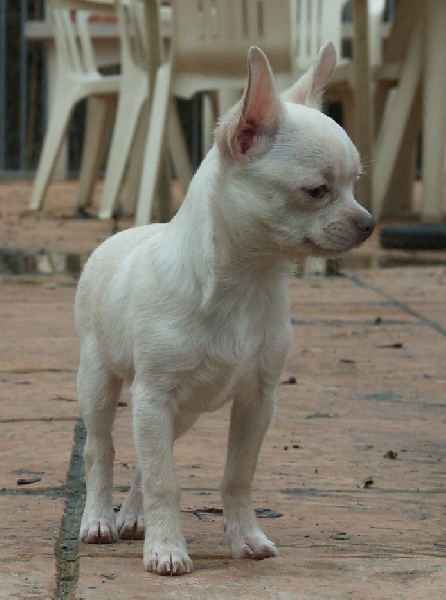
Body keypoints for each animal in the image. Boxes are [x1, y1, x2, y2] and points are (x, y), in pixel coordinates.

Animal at [75, 42, 374, 576]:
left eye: (355, 187)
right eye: (316, 191)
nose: (369, 222)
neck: (249, 285)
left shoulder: (257, 399)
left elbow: (236, 474)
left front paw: (246, 538)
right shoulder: (153, 396)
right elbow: (165, 481)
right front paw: (167, 550)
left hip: (182, 412)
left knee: (146, 459)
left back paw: (132, 517)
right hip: (99, 381)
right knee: (100, 450)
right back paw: (99, 519)